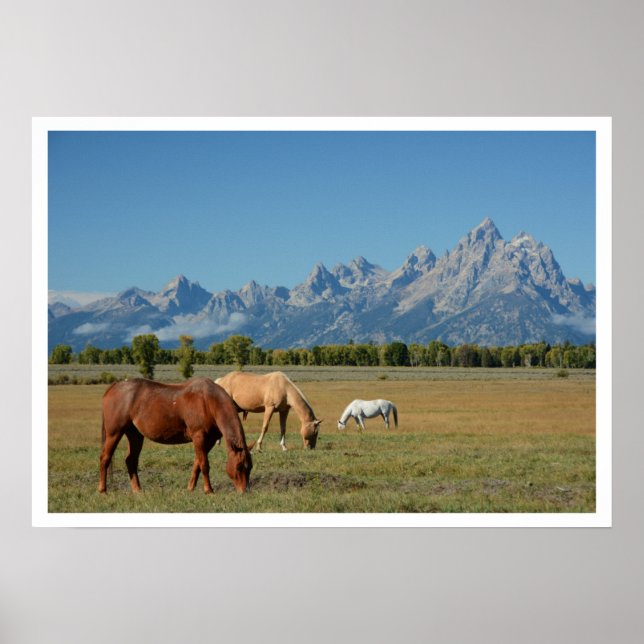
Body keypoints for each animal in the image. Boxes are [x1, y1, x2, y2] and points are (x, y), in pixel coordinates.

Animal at [98, 377, 254, 494]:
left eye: (250, 467)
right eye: (239, 467)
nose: (244, 491)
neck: (208, 401)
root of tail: (115, 386)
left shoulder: (209, 440)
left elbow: (197, 463)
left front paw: (190, 488)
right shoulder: (199, 437)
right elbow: (204, 464)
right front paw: (208, 490)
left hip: (135, 435)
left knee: (131, 460)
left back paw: (137, 490)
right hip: (114, 433)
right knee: (105, 458)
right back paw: (102, 490)